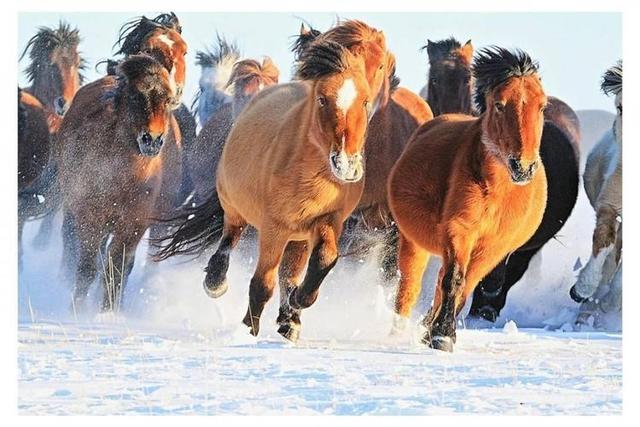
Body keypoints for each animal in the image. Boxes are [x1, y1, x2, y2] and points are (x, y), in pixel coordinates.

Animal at [56, 55, 179, 312]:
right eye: (135, 96)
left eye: (167, 100)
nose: (152, 140)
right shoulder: (91, 218)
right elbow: (87, 269)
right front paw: (76, 310)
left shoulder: (134, 225)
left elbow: (116, 270)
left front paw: (108, 313)